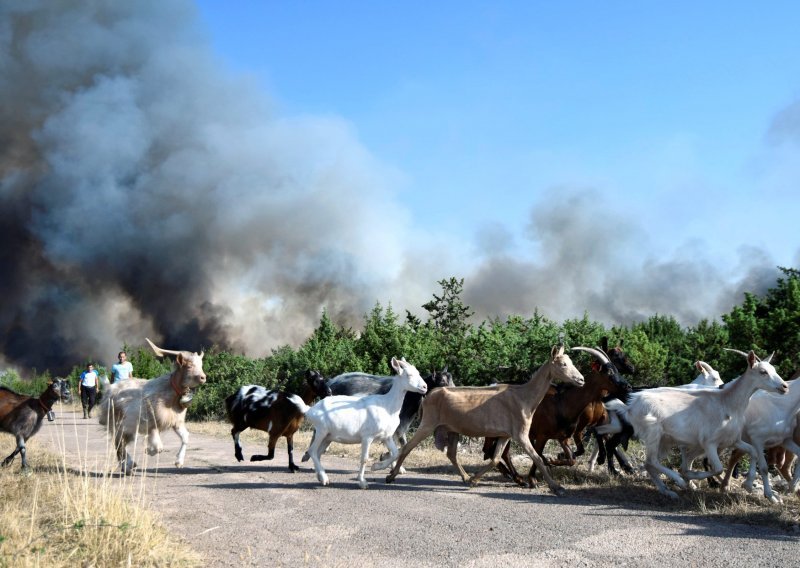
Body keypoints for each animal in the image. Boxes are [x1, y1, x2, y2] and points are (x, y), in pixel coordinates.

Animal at [98, 338, 206, 474]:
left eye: (201, 365)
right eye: (189, 365)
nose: (203, 377)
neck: (169, 392)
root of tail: (109, 389)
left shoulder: (176, 422)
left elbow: (185, 437)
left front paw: (179, 462)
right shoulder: (152, 424)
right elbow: (158, 447)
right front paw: (148, 450)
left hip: (129, 428)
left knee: (122, 444)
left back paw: (129, 465)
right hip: (117, 424)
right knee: (118, 444)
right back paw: (127, 466)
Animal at [288, 360, 428, 488]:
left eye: (418, 373)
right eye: (409, 375)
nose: (425, 387)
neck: (387, 405)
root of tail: (310, 410)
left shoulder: (386, 437)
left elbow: (396, 453)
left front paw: (376, 466)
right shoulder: (367, 437)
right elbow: (364, 458)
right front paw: (362, 482)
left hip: (328, 437)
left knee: (318, 453)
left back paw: (320, 477)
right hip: (321, 431)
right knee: (312, 451)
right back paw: (324, 478)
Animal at [384, 344, 584, 494]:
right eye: (563, 364)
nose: (581, 379)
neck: (525, 397)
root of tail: (429, 396)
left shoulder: (505, 434)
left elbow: (495, 458)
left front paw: (474, 479)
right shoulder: (520, 434)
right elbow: (537, 458)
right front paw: (557, 487)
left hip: (451, 428)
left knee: (451, 454)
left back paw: (465, 477)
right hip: (428, 423)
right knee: (407, 448)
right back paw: (391, 475)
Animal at [482, 346, 632, 488]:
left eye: (617, 370)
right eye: (609, 372)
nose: (628, 386)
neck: (562, 402)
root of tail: (492, 384)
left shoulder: (563, 437)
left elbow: (572, 459)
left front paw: (552, 461)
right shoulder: (542, 436)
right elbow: (537, 454)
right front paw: (533, 478)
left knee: (501, 452)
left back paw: (517, 478)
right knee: (490, 450)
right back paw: (512, 475)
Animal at [608, 352, 788, 500]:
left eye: (773, 369)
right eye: (763, 372)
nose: (784, 386)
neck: (727, 403)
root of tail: (630, 407)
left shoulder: (733, 440)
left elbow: (753, 452)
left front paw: (748, 483)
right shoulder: (709, 443)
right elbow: (717, 468)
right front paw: (688, 476)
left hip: (664, 441)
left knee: (649, 463)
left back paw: (667, 491)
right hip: (653, 433)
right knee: (652, 461)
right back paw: (678, 481)